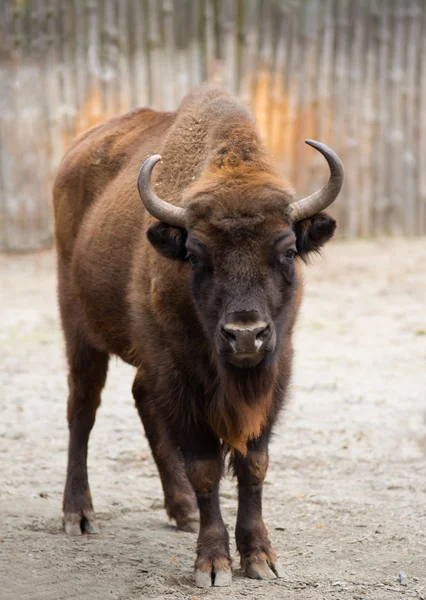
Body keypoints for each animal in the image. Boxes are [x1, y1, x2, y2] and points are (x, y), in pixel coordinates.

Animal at [54, 83, 342, 584]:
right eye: (195, 254)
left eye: (287, 252)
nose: (245, 335)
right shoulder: (179, 375)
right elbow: (205, 467)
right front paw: (212, 563)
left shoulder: (275, 371)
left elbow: (254, 464)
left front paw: (260, 557)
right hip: (80, 331)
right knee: (82, 411)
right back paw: (79, 514)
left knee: (141, 402)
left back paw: (182, 509)